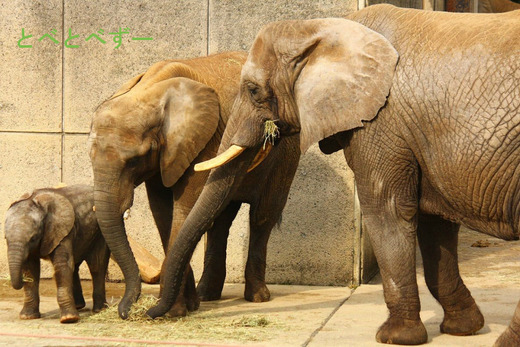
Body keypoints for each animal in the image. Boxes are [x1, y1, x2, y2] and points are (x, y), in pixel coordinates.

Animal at [4, 185, 110, 324]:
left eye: (33, 238)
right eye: (5, 238)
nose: (20, 281)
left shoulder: (62, 230)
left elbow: (62, 265)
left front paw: (69, 319)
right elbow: (31, 269)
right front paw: (27, 317)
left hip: (100, 233)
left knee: (97, 266)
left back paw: (99, 310)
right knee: (76, 265)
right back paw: (79, 306)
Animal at [149, 4, 520, 347]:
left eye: (253, 90)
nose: (150, 313)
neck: (321, 28)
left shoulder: (380, 122)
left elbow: (388, 211)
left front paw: (394, 337)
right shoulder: (416, 136)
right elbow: (434, 221)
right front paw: (463, 329)